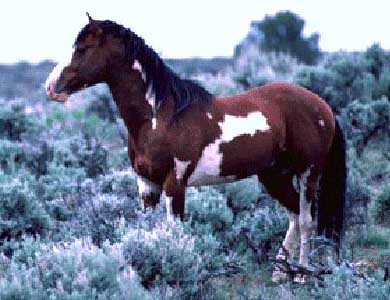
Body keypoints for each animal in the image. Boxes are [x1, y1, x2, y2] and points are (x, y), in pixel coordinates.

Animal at [45, 15, 348, 276]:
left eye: (83, 48)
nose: (51, 86)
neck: (160, 117)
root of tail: (322, 105)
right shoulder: (147, 185)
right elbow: (147, 232)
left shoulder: (174, 184)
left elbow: (174, 234)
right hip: (273, 175)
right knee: (295, 215)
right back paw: (280, 272)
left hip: (308, 173)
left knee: (307, 220)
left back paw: (301, 274)